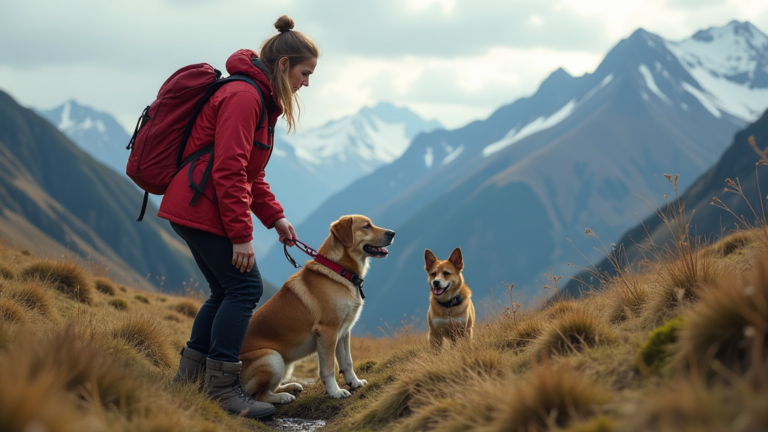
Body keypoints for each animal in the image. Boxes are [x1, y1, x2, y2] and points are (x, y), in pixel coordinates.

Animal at [240, 214, 396, 404]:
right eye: (366, 226)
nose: (392, 233)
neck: (340, 270)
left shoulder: (343, 332)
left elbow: (347, 362)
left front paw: (354, 382)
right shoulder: (327, 332)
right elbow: (328, 368)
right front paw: (335, 392)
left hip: (285, 364)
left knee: (269, 388)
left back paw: (290, 387)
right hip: (272, 358)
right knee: (258, 396)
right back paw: (283, 397)